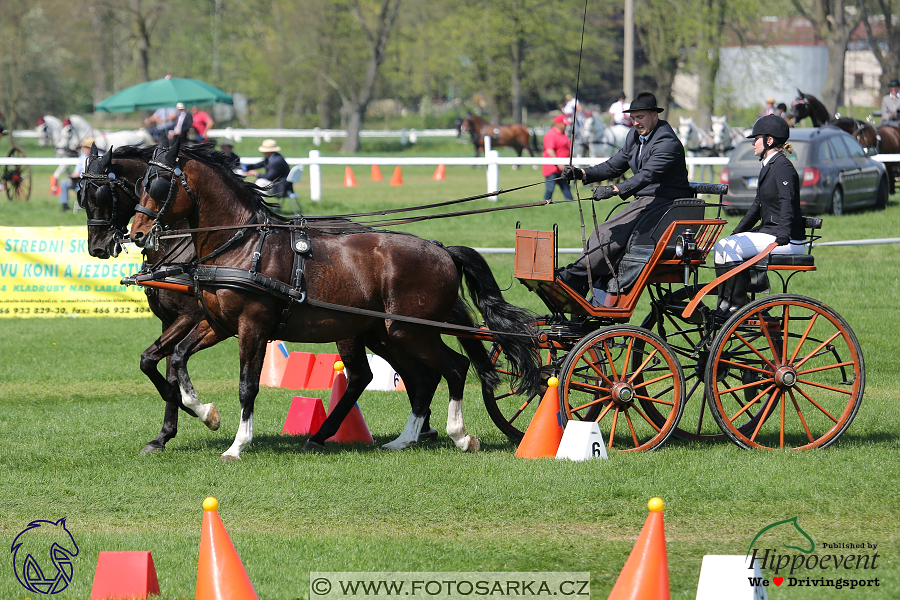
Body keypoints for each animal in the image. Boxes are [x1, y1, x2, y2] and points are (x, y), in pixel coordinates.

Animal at [125, 139, 536, 460]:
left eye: (159, 184)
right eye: (140, 182)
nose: (137, 233)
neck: (241, 244)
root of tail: (441, 249)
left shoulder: (252, 326)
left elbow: (247, 384)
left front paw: (237, 445)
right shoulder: (218, 323)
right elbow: (178, 358)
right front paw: (205, 412)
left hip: (409, 331)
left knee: (453, 368)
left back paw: (459, 436)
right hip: (388, 333)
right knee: (422, 377)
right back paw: (404, 439)